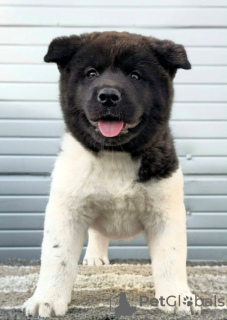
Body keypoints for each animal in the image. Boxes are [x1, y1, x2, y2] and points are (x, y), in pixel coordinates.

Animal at [22, 31, 200, 316]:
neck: (115, 155)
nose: (108, 96)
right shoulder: (66, 210)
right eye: (91, 73)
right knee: (97, 233)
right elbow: (57, 257)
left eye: (135, 76)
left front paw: (177, 296)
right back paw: (95, 256)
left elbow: (170, 258)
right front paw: (46, 299)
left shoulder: (166, 212)